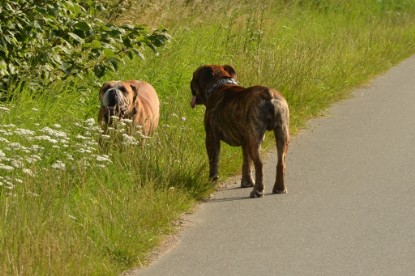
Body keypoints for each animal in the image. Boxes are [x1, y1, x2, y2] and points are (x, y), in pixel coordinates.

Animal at [191, 64, 290, 198]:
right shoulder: (245, 142)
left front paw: (212, 180)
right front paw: (247, 182)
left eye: (194, 75)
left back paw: (257, 191)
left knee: (259, 164)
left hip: (254, 138)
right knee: (281, 162)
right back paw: (279, 188)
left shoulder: (211, 137)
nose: (190, 83)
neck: (220, 84)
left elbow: (214, 161)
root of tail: (268, 93)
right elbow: (246, 162)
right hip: (281, 133)